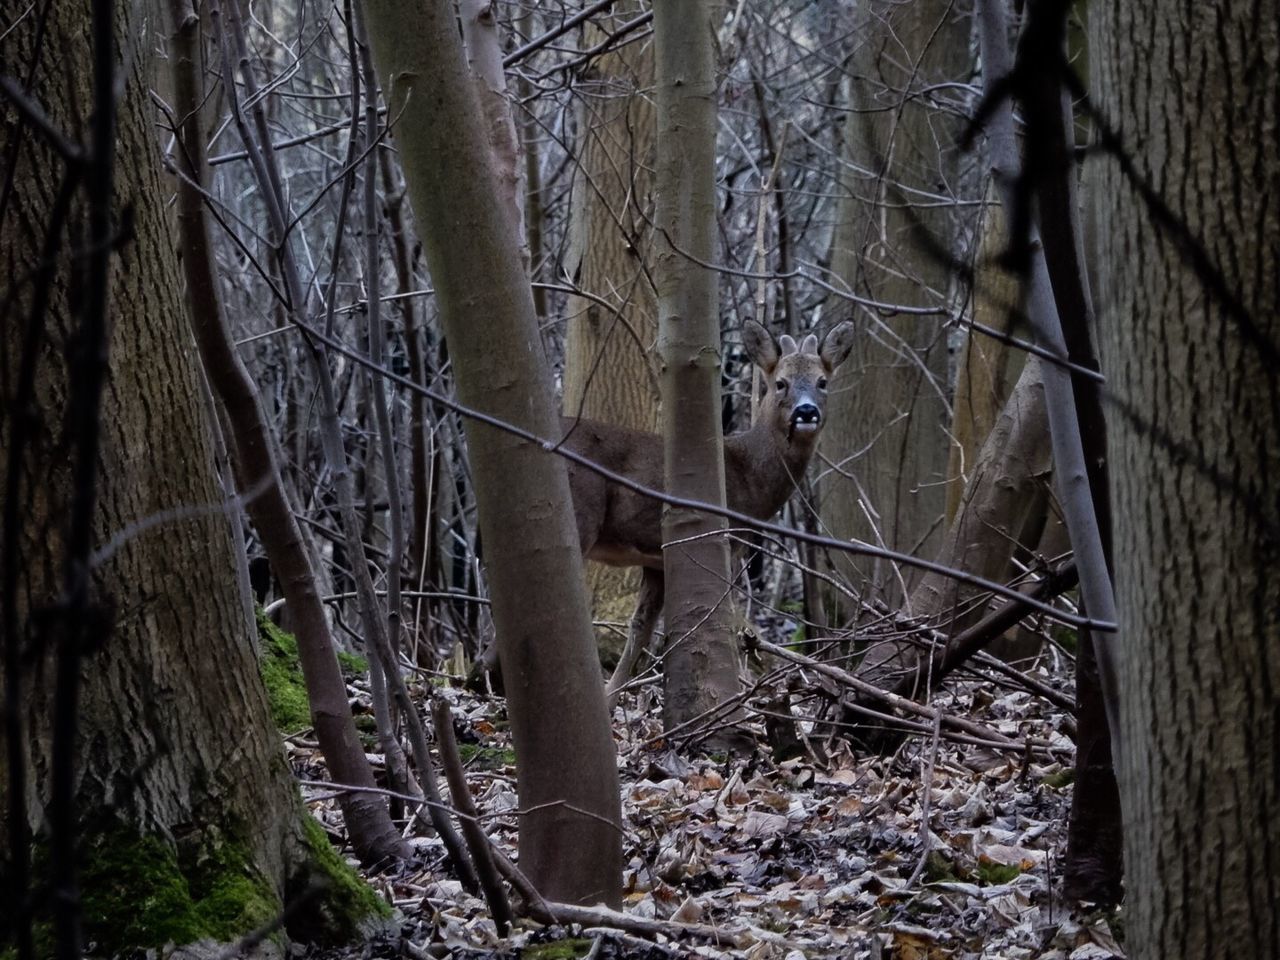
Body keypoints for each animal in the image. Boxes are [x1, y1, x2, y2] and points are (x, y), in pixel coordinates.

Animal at [558, 320, 849, 701]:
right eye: (780, 382)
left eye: (822, 381)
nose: (806, 412)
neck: (748, 475)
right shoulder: (729, 540)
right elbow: (728, 620)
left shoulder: (656, 561)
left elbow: (641, 629)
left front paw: (611, 701)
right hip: (580, 515)